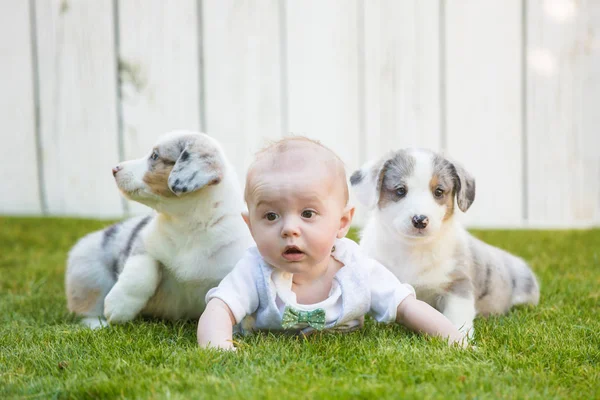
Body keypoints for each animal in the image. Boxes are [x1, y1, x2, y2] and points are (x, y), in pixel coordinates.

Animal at [65, 131, 253, 328]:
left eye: (155, 156)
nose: (114, 169)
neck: (189, 225)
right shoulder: (144, 243)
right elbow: (141, 272)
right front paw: (117, 307)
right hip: (89, 274)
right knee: (87, 307)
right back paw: (97, 325)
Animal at [352, 148, 540, 340]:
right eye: (400, 191)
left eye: (439, 191)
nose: (420, 220)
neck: (413, 248)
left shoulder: (457, 285)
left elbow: (457, 318)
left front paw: (461, 339)